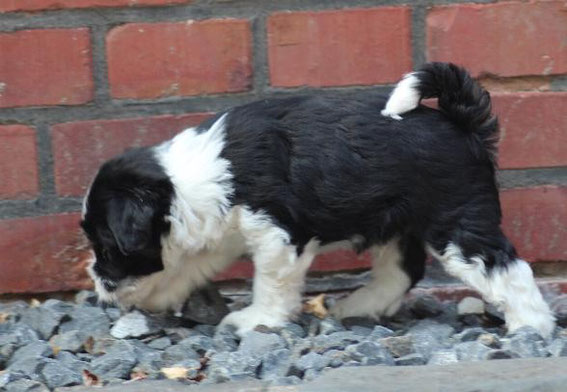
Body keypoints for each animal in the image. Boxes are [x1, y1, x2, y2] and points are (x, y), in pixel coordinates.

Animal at [80, 62, 556, 336]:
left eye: (107, 246)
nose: (96, 280)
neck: (190, 180)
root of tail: (462, 122)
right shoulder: (223, 230)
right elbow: (190, 262)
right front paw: (160, 296)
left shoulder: (278, 237)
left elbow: (269, 283)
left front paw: (258, 320)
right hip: (395, 223)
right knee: (402, 270)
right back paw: (358, 306)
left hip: (457, 224)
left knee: (506, 268)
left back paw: (532, 326)